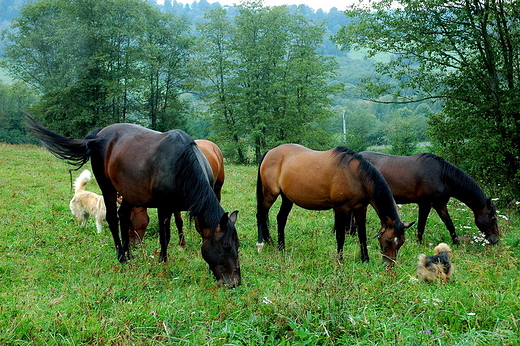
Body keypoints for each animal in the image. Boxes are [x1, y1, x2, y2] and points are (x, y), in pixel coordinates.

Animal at [26, 116, 242, 286]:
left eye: (237, 246)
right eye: (226, 247)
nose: (235, 283)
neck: (183, 166)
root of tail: (98, 136)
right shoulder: (164, 208)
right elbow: (165, 236)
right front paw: (163, 261)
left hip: (128, 193)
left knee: (123, 216)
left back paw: (128, 253)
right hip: (108, 188)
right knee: (113, 219)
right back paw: (122, 257)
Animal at [256, 143, 414, 264]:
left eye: (401, 242)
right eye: (387, 240)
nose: (389, 265)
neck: (355, 176)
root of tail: (270, 152)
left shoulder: (361, 208)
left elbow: (362, 234)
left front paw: (365, 259)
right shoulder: (340, 209)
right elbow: (340, 235)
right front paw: (340, 260)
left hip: (287, 198)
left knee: (281, 218)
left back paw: (281, 247)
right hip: (270, 194)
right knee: (261, 215)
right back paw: (261, 244)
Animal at [358, 152, 500, 246]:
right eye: (492, 218)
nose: (496, 240)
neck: (442, 176)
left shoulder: (440, 205)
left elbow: (450, 224)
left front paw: (456, 243)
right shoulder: (425, 204)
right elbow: (421, 225)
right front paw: (419, 243)